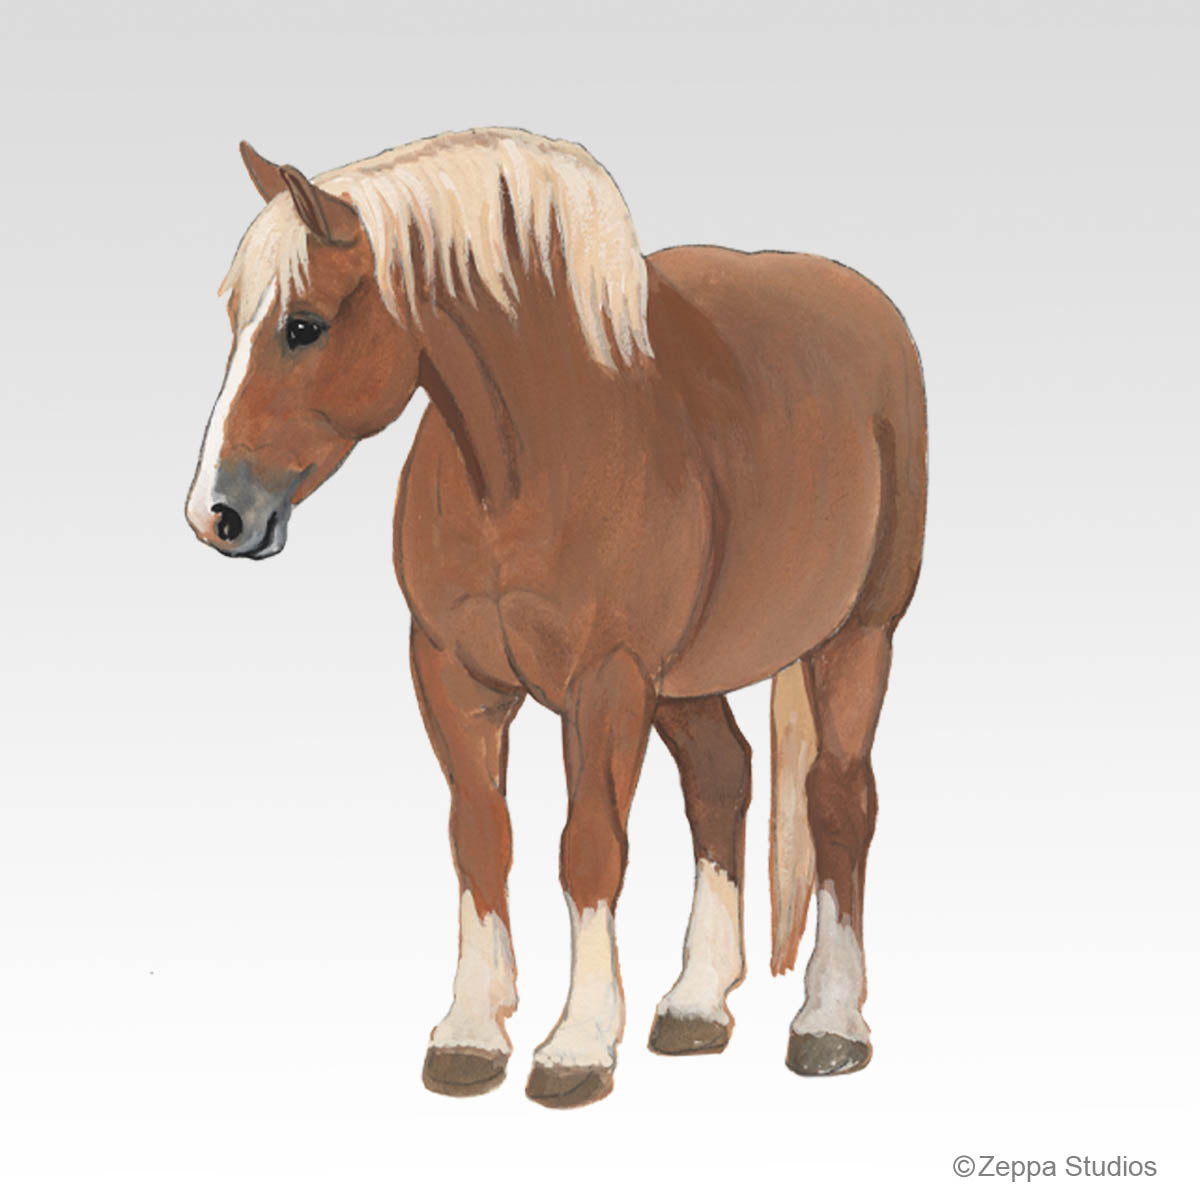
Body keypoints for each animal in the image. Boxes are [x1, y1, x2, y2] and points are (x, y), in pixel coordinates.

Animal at [185, 127, 927, 1108]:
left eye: (303, 325)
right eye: (237, 315)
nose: (216, 514)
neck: (527, 465)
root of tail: (863, 303)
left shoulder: (606, 682)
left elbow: (589, 849)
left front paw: (576, 1045)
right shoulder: (452, 673)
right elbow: (479, 837)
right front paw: (470, 1033)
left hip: (857, 640)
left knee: (840, 801)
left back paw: (830, 1022)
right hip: (685, 679)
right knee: (723, 780)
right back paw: (696, 1004)